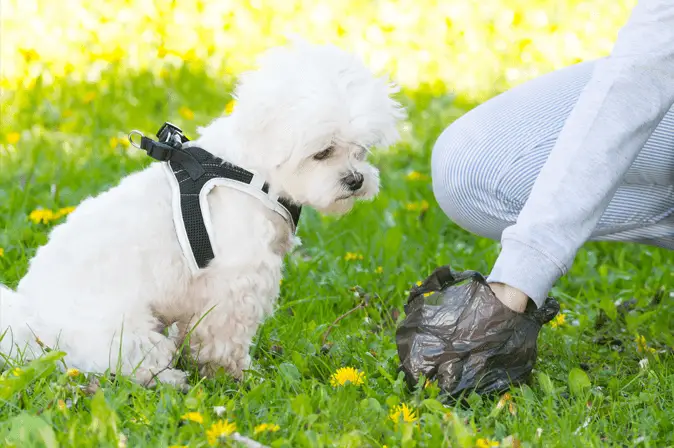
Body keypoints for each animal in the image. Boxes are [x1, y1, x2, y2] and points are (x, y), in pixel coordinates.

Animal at [0, 40, 404, 386]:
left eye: (361, 150)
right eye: (323, 152)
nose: (356, 179)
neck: (250, 171)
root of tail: (30, 320)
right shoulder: (235, 282)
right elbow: (224, 338)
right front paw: (234, 375)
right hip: (125, 332)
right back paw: (170, 379)